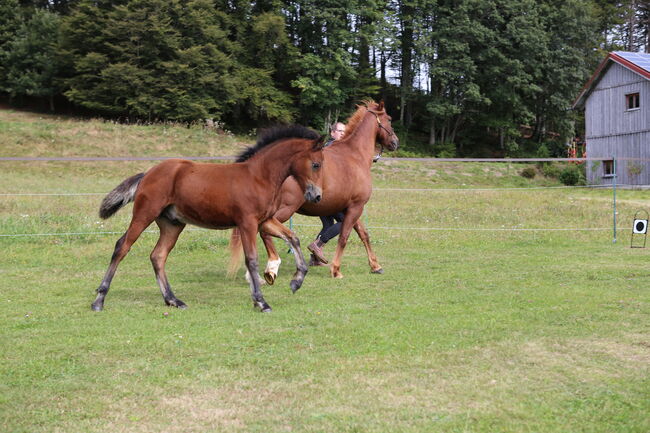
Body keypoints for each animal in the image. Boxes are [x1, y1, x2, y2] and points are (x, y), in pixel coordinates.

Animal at [90, 126, 322, 312]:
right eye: (316, 164)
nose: (317, 196)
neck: (259, 177)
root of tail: (147, 173)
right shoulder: (247, 223)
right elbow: (252, 259)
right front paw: (261, 302)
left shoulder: (265, 221)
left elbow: (293, 238)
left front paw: (297, 281)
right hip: (144, 213)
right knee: (122, 246)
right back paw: (99, 300)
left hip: (172, 224)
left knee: (158, 256)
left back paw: (173, 300)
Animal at [230, 101, 398, 284]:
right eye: (389, 119)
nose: (395, 142)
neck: (355, 155)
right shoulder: (356, 206)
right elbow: (344, 237)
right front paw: (336, 270)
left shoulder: (350, 208)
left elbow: (363, 234)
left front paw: (375, 266)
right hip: (284, 210)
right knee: (264, 231)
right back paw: (271, 267)